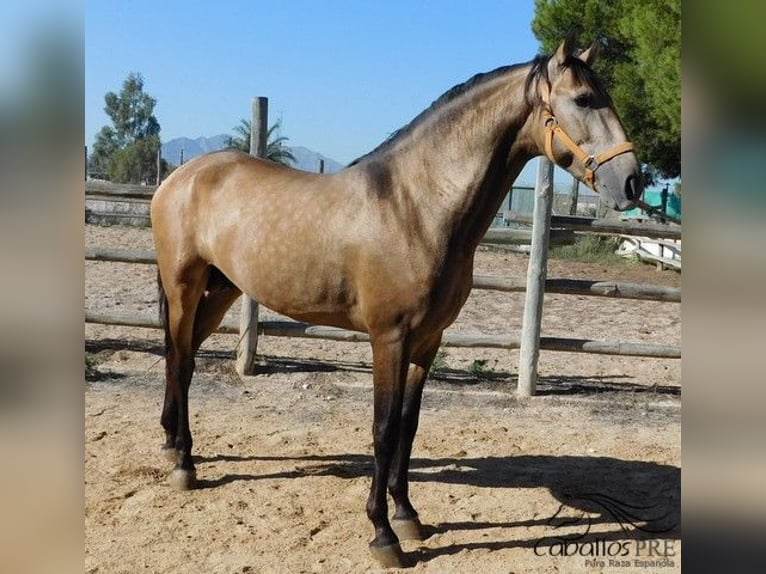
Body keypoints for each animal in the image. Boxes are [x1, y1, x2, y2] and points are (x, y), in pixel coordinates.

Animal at [150, 32, 640, 572]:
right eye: (584, 99)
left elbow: (409, 425)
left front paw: (408, 516)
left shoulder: (427, 341)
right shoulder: (389, 339)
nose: (633, 181)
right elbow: (384, 429)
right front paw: (383, 535)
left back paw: (173, 447)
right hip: (184, 286)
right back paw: (184, 463)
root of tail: (180, 176)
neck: (416, 206)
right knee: (180, 359)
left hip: (221, 291)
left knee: (180, 357)